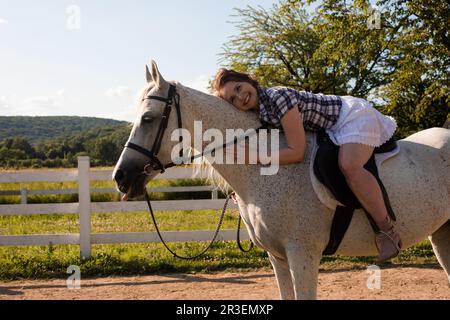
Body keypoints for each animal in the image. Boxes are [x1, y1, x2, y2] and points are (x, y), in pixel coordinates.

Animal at [114, 60, 450, 300]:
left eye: (148, 118)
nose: (121, 177)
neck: (264, 173)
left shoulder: (303, 255)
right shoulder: (277, 257)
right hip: (441, 235)